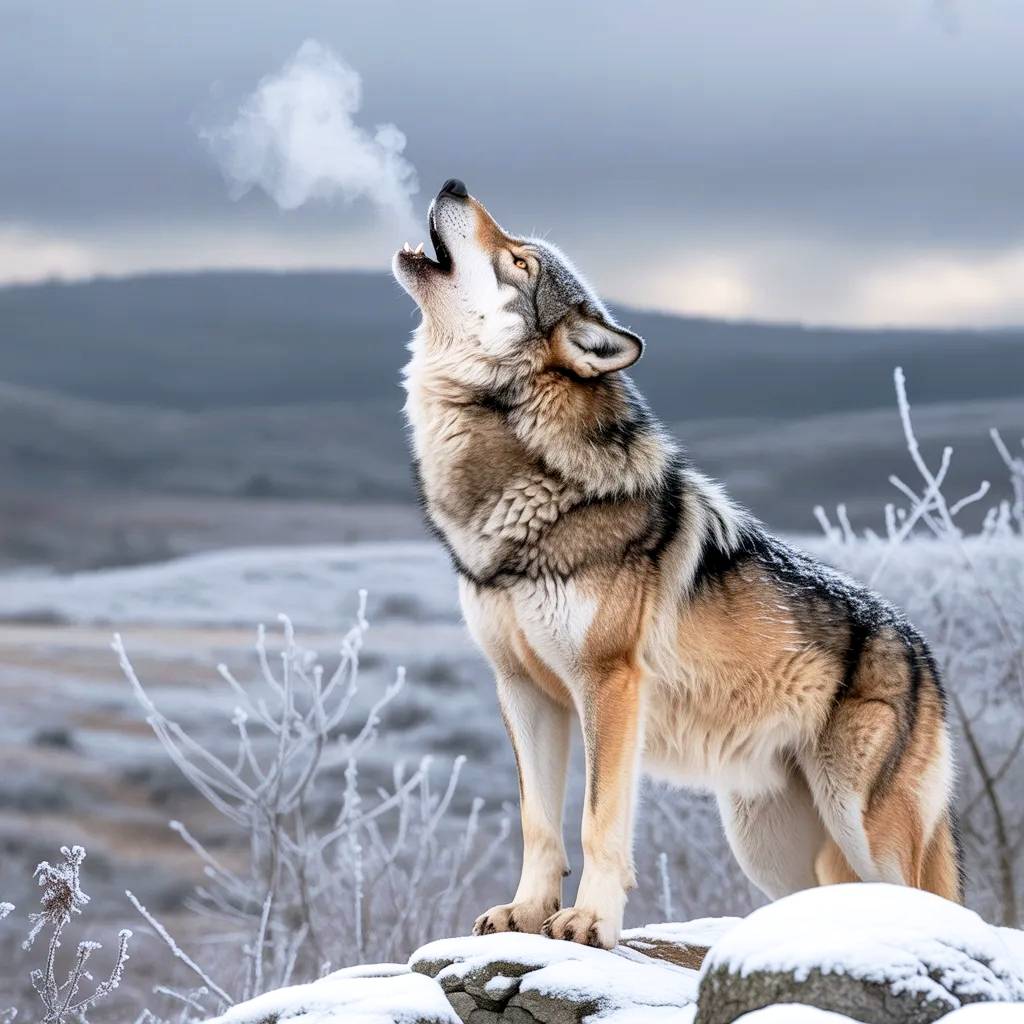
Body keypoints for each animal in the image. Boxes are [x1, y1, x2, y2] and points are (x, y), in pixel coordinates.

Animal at [392, 178, 961, 949]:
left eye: (519, 262)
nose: (455, 184)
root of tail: (921, 650)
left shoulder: (610, 684)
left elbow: (598, 821)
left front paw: (590, 922)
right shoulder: (523, 689)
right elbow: (538, 823)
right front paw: (526, 915)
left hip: (860, 822)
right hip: (770, 845)